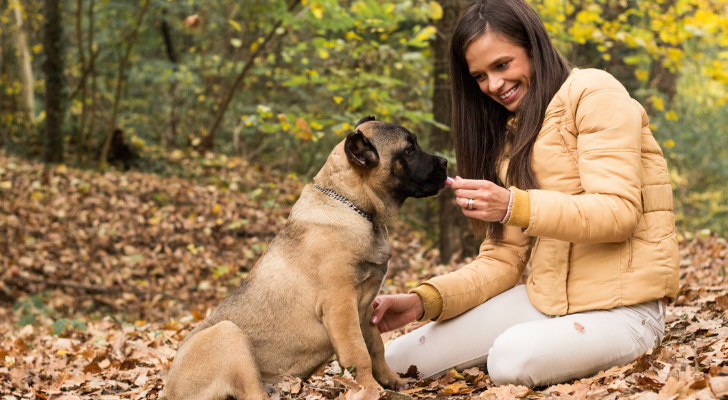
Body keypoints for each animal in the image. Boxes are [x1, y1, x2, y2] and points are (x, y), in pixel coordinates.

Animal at [164, 115, 450, 400]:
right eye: (409, 150)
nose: (446, 162)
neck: (354, 207)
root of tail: (168, 390)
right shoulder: (341, 306)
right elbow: (358, 353)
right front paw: (370, 390)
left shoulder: (366, 308)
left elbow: (376, 348)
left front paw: (393, 382)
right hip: (228, 334)